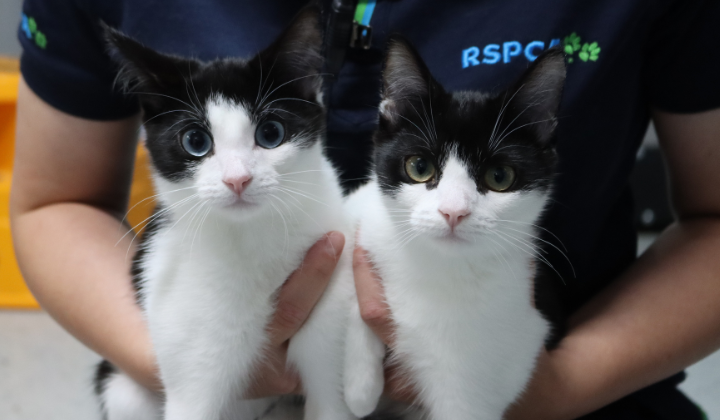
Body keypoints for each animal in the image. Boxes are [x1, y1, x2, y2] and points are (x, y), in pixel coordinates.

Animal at [93, 9, 358, 420]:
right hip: (123, 390)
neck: (254, 236)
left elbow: (330, 395)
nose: (238, 179)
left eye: (271, 133)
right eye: (195, 141)